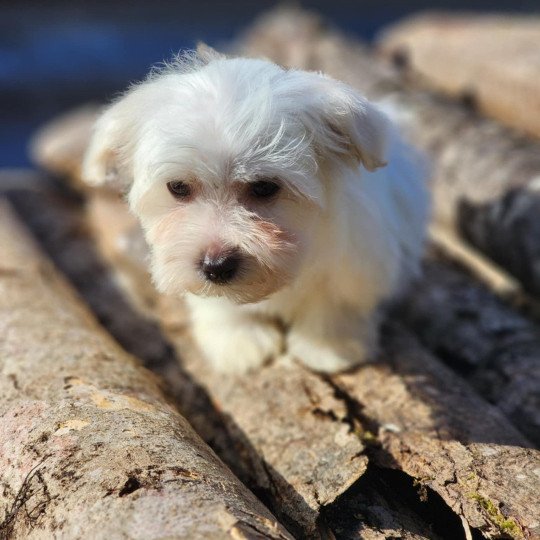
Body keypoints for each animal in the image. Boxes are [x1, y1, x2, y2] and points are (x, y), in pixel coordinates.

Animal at [82, 46, 428, 374]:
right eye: (178, 187)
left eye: (264, 187)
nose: (217, 266)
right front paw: (238, 342)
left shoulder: (356, 261)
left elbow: (335, 301)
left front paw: (328, 346)